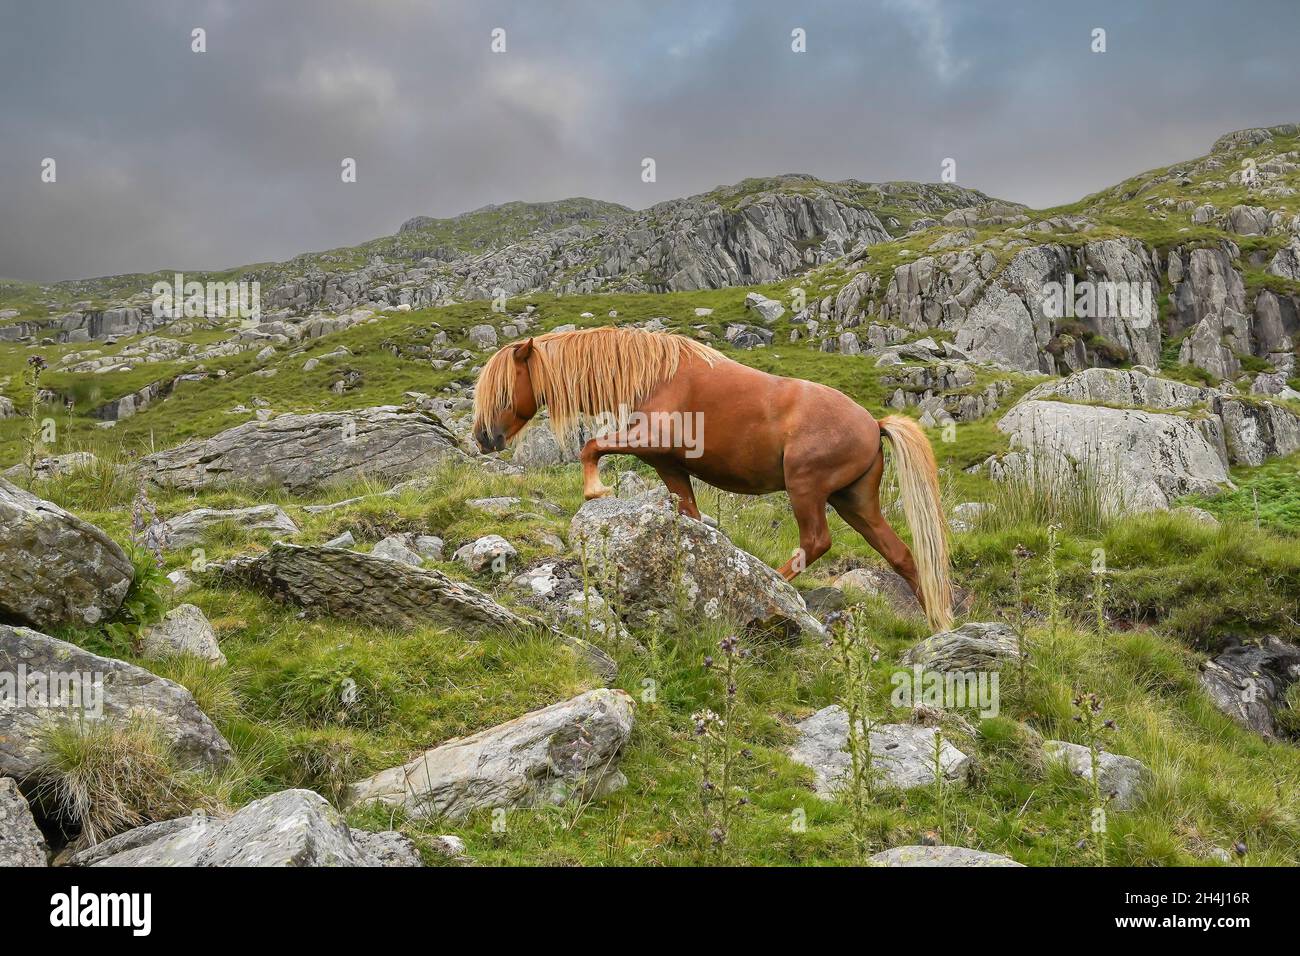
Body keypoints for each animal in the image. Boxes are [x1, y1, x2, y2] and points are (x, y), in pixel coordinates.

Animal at [472, 326, 953, 630]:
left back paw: (774, 584)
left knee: (816, 541)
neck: (654, 376)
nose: (483, 438)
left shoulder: (648, 440)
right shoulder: (670, 466)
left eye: (503, 390)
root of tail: (873, 424)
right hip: (854, 502)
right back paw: (936, 624)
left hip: (807, 489)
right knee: (901, 555)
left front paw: (594, 490)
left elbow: (591, 446)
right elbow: (688, 514)